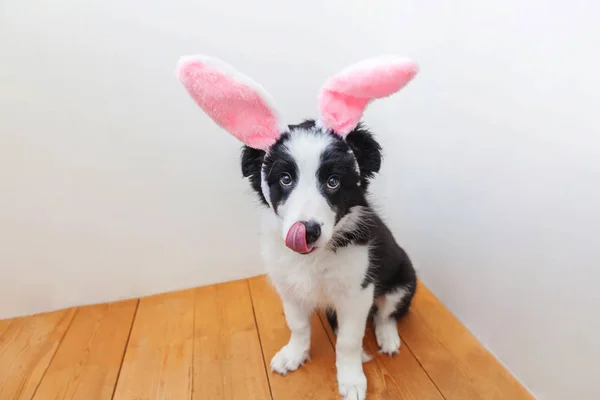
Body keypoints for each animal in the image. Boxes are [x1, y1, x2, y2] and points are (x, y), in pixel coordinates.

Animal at [177, 54, 418, 398]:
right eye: (285, 179)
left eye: (333, 182)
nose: (308, 231)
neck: (314, 260)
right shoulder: (288, 286)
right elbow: (299, 325)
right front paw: (294, 355)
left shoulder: (357, 291)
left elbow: (348, 341)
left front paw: (351, 379)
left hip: (403, 279)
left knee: (388, 314)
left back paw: (388, 339)